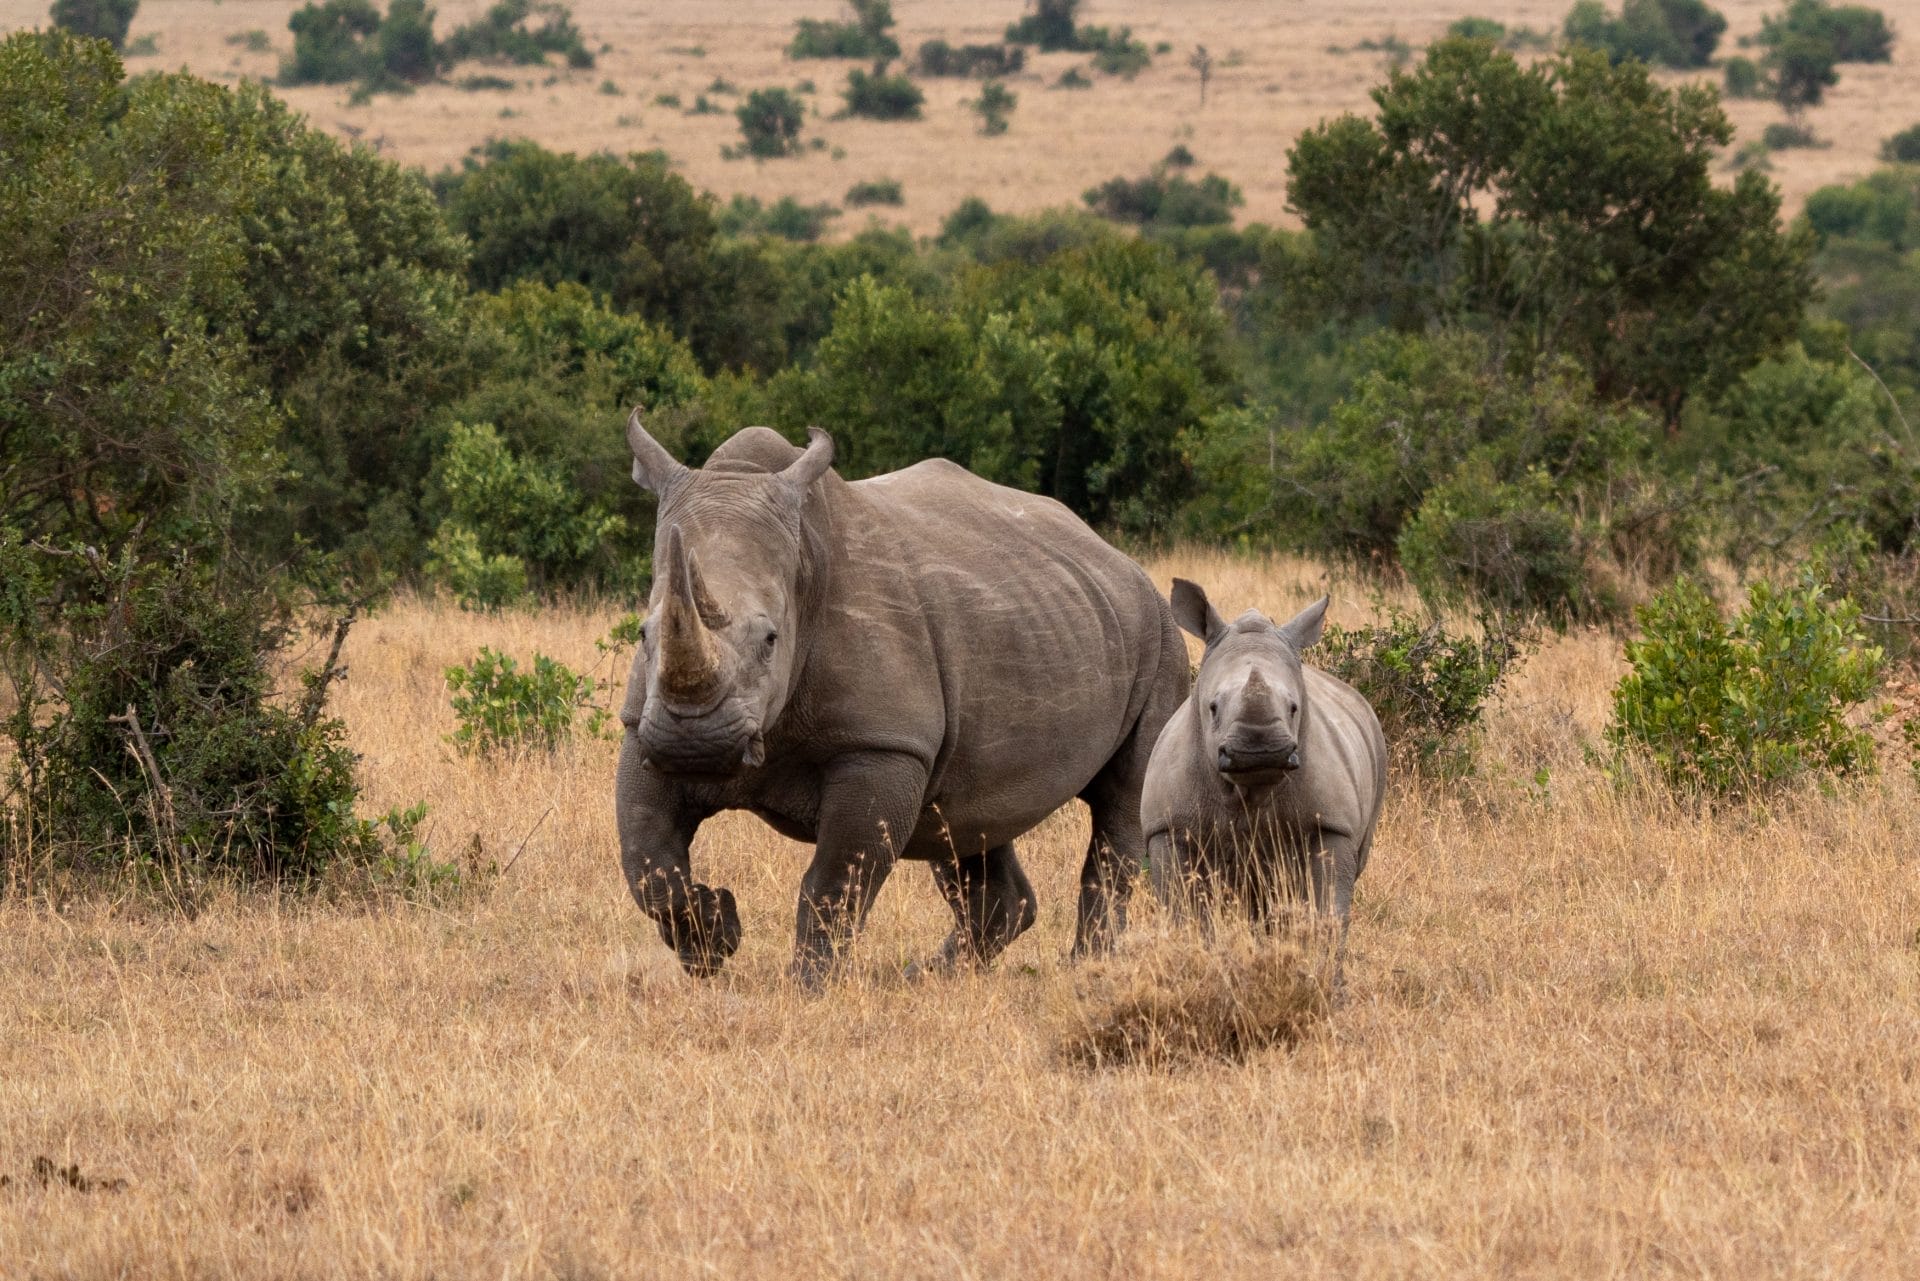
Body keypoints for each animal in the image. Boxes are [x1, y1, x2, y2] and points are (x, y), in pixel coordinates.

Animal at [616, 411, 1190, 984]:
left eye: (771, 640)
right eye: (644, 634)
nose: (696, 745)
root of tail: (1119, 558)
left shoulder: (883, 745)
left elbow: (835, 881)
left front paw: (808, 987)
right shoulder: (645, 728)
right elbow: (646, 861)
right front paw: (713, 940)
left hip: (1161, 637)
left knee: (1120, 804)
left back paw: (1086, 967)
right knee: (965, 818)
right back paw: (929, 976)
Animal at [1141, 581, 1387, 929]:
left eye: (1294, 707)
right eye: (1213, 707)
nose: (1260, 750)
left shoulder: (1333, 826)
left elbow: (1327, 912)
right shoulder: (1169, 826)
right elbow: (1185, 913)